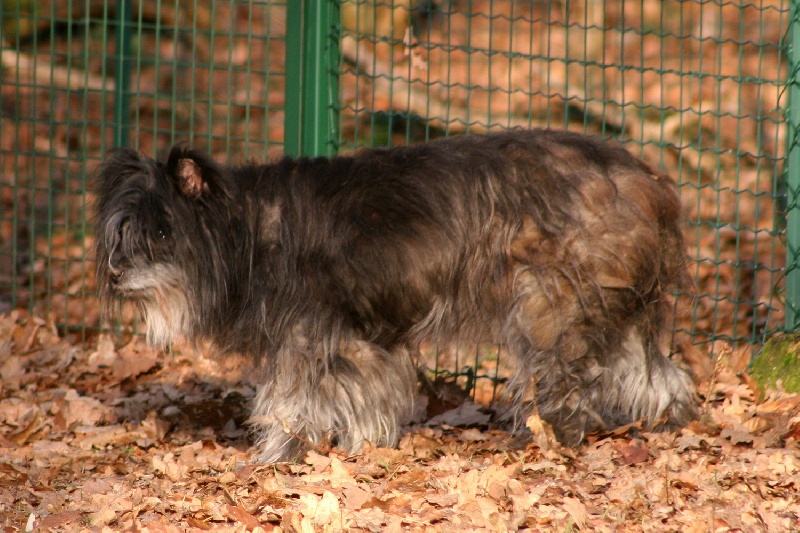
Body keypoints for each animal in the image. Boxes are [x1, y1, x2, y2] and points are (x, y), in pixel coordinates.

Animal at [92, 129, 692, 462]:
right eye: (122, 234)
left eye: (162, 233)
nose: (117, 274)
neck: (248, 228)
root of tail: (647, 179)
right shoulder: (359, 343)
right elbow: (361, 401)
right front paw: (362, 449)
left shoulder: (312, 340)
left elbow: (292, 405)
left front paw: (278, 457)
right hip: (613, 309)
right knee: (656, 373)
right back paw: (675, 422)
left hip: (548, 307)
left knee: (568, 381)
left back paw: (548, 440)